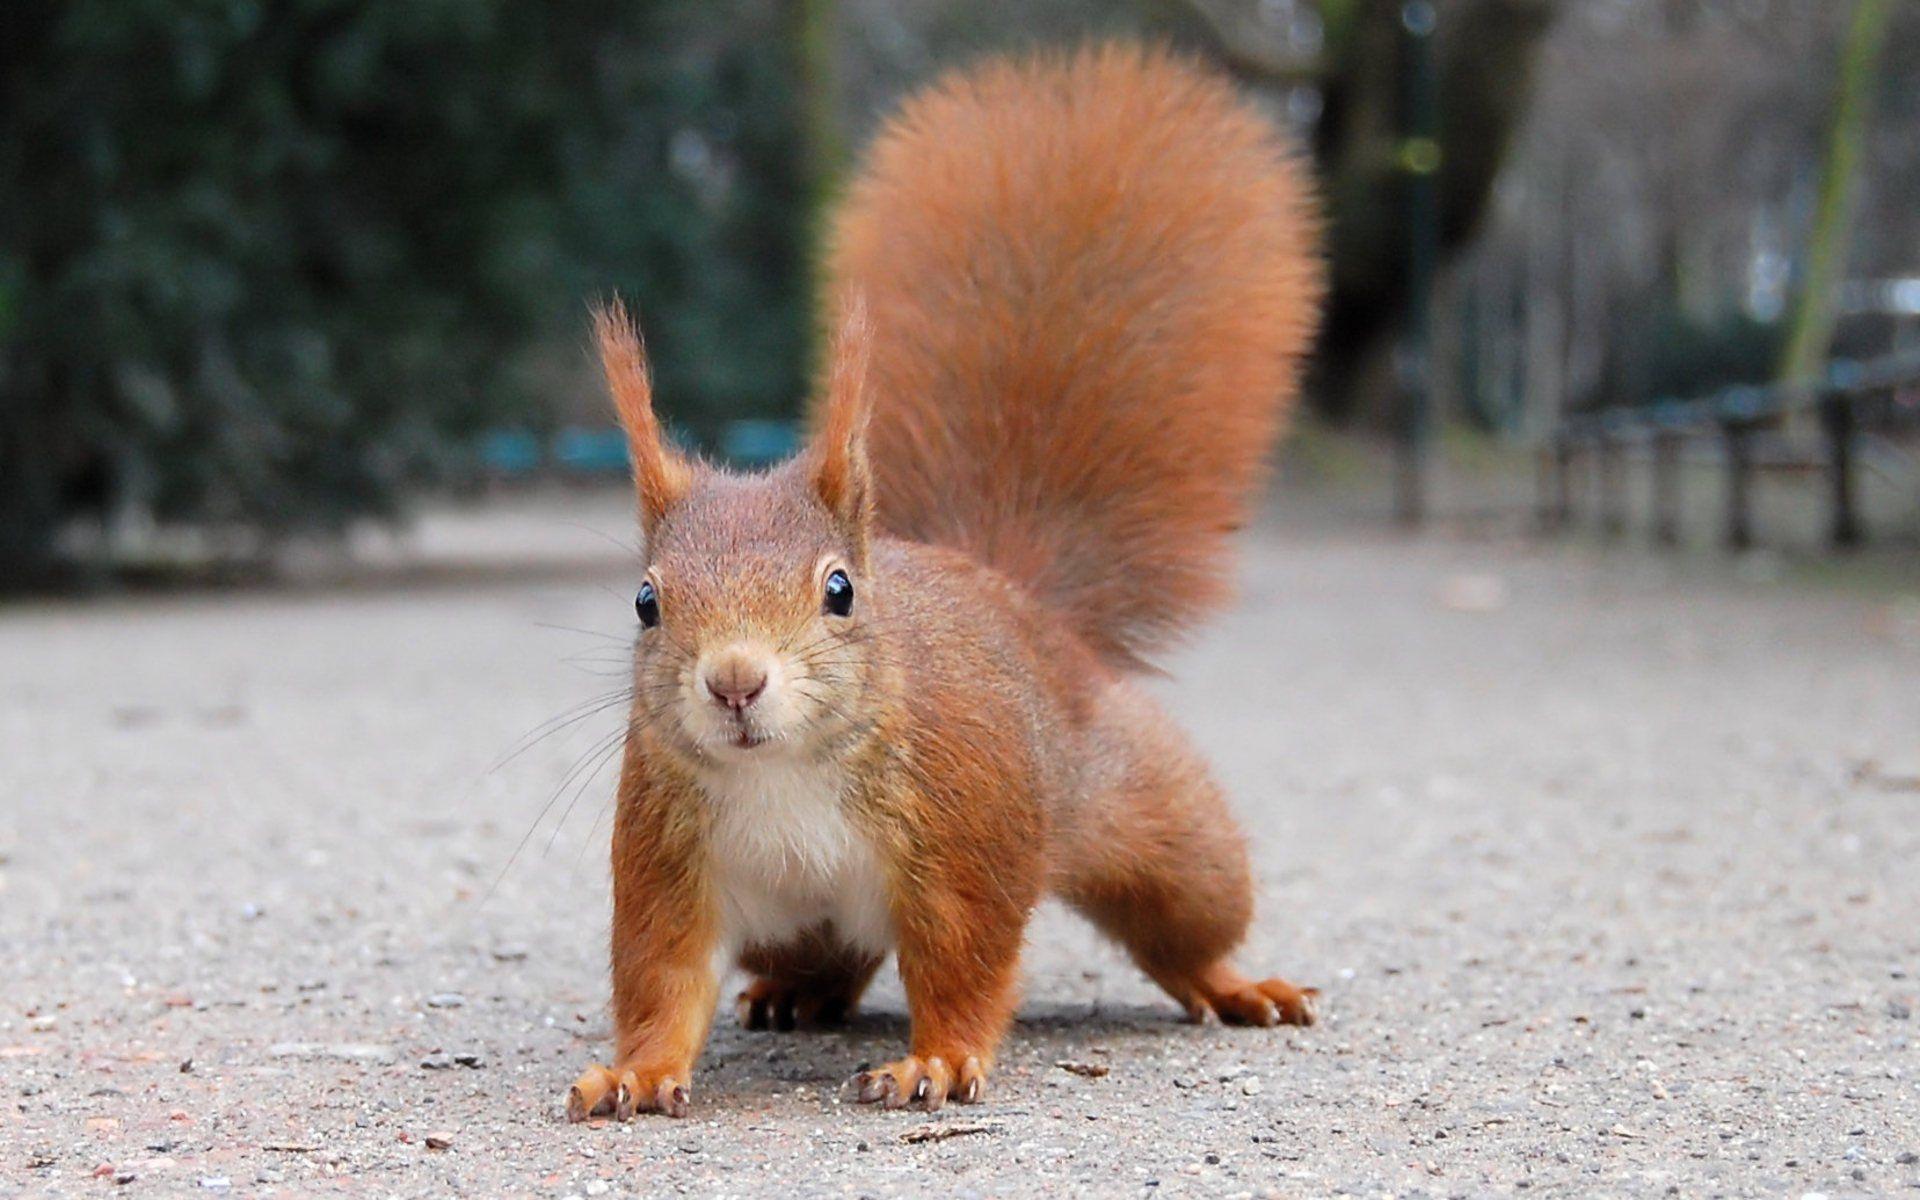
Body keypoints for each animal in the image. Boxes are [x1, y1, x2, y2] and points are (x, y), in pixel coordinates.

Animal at [566, 42, 1323, 1121]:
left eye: (841, 590)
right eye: (645, 603)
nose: (735, 682)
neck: (783, 772)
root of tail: (1019, 596)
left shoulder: (965, 836)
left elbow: (962, 962)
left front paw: (937, 1059)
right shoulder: (669, 859)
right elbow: (662, 978)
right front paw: (635, 1070)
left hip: (1161, 825)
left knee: (1186, 923)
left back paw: (1234, 984)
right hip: (793, 921)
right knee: (831, 956)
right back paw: (796, 994)